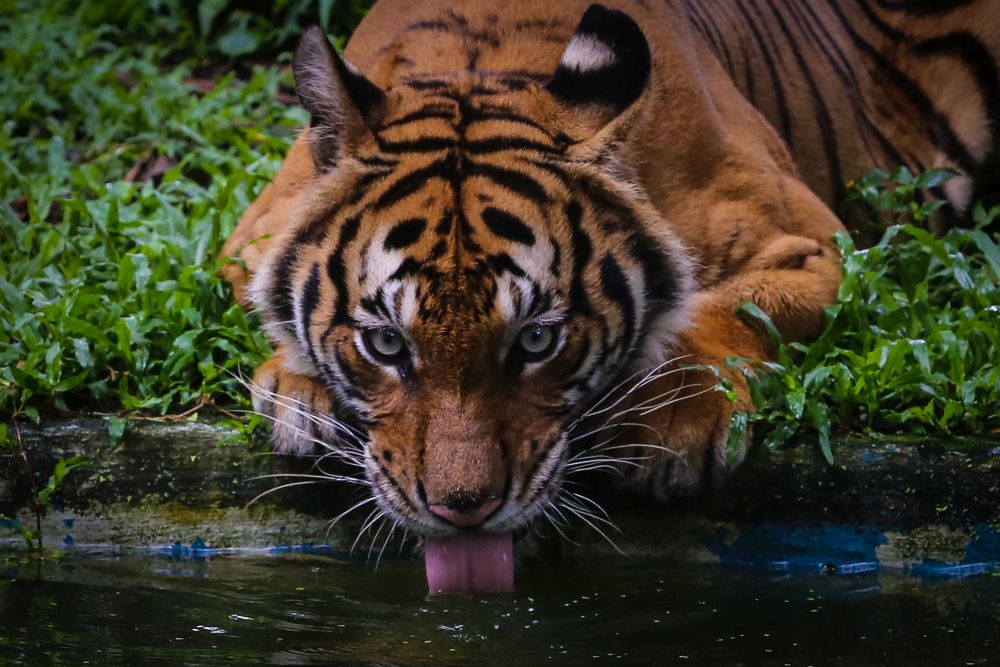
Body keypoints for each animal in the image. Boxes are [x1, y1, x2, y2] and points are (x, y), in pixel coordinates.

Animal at [220, 0, 998, 592]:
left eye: (537, 339)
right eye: (386, 342)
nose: (463, 511)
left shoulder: (814, 246)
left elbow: (734, 306)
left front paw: (672, 419)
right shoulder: (251, 233)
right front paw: (300, 392)